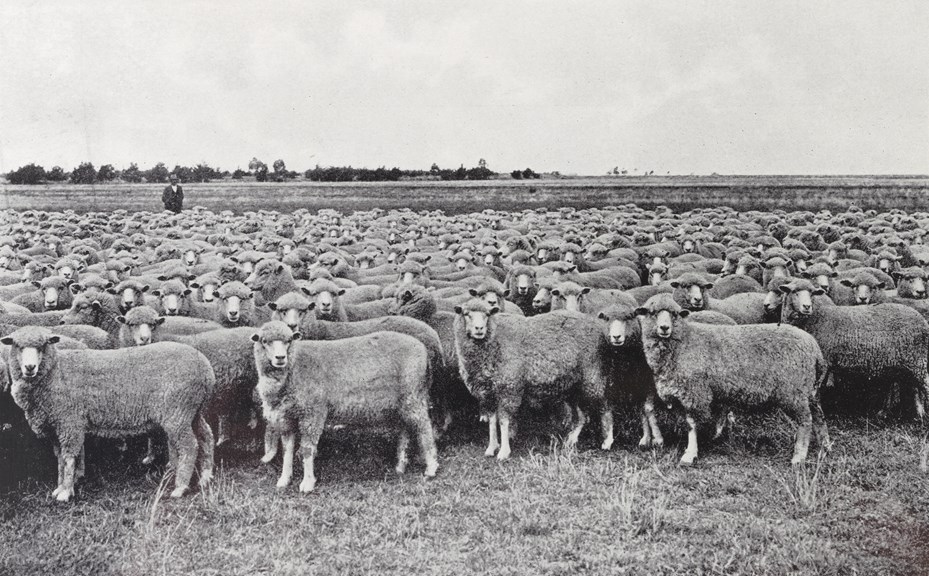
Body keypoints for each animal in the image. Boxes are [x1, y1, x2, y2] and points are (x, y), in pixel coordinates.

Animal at [2, 328, 216, 500]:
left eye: (43, 346)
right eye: (17, 346)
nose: (30, 367)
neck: (55, 371)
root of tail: (206, 368)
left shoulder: (69, 422)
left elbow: (69, 458)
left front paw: (66, 492)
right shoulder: (57, 425)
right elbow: (61, 459)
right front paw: (63, 486)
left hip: (178, 411)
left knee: (189, 445)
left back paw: (180, 487)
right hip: (193, 410)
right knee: (206, 436)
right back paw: (205, 476)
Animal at [454, 302, 612, 460]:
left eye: (487, 315)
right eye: (466, 314)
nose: (479, 328)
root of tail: (598, 327)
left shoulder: (509, 388)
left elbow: (504, 421)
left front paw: (504, 451)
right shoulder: (487, 393)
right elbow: (492, 421)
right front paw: (491, 447)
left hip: (593, 375)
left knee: (605, 406)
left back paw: (607, 441)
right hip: (573, 385)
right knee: (581, 416)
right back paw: (571, 440)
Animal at [640, 294, 828, 466]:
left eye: (674, 314)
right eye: (652, 312)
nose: (664, 328)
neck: (683, 341)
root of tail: (814, 348)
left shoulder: (694, 393)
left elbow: (692, 425)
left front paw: (689, 454)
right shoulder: (682, 393)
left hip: (793, 392)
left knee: (806, 420)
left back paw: (799, 457)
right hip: (809, 390)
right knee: (819, 416)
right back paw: (825, 446)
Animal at [780, 276, 928, 420]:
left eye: (812, 293)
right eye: (794, 291)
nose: (807, 306)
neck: (816, 317)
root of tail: (921, 318)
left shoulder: (823, 361)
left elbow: (815, 392)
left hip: (918, 359)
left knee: (923, 384)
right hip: (900, 362)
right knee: (911, 386)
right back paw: (904, 413)